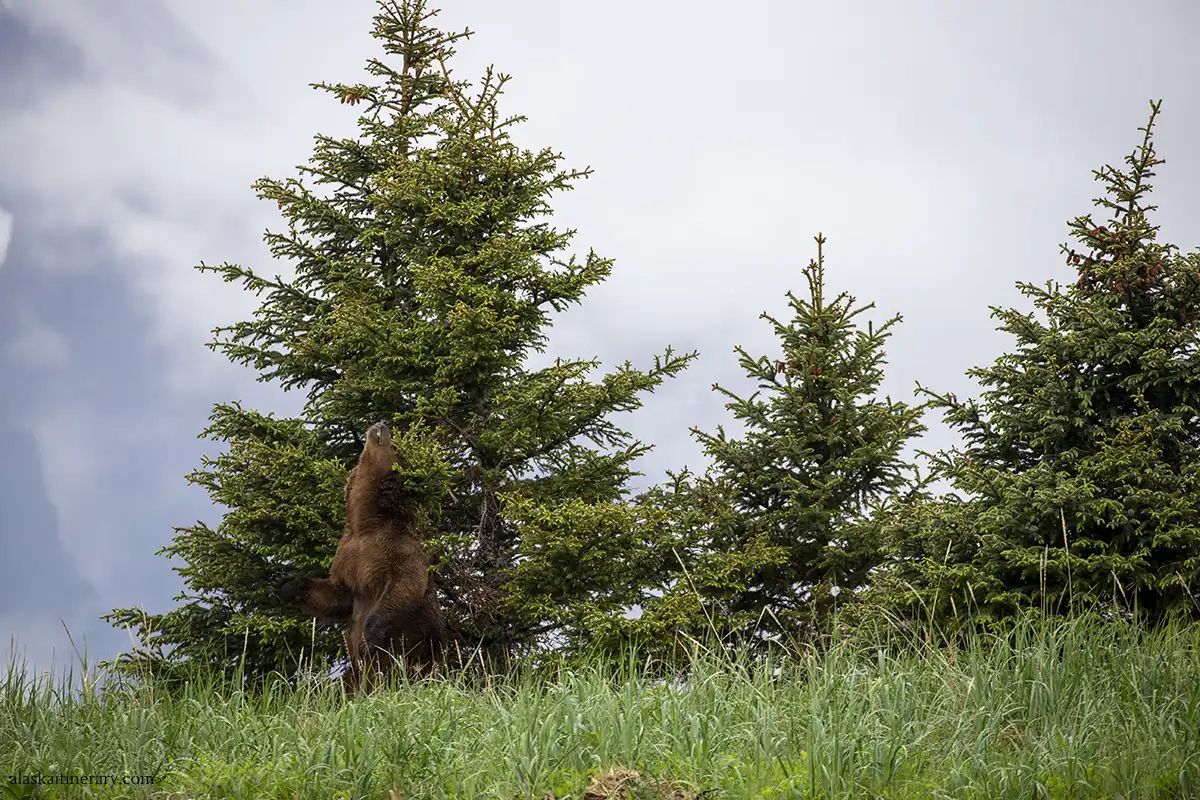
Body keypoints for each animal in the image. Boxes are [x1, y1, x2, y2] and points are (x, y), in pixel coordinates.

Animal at [275, 421, 448, 692]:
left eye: (395, 445)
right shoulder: (347, 556)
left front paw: (368, 637)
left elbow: (405, 585)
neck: (365, 523)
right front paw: (285, 584)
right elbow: (338, 594)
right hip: (354, 676)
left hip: (419, 660)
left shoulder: (397, 551)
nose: (383, 424)